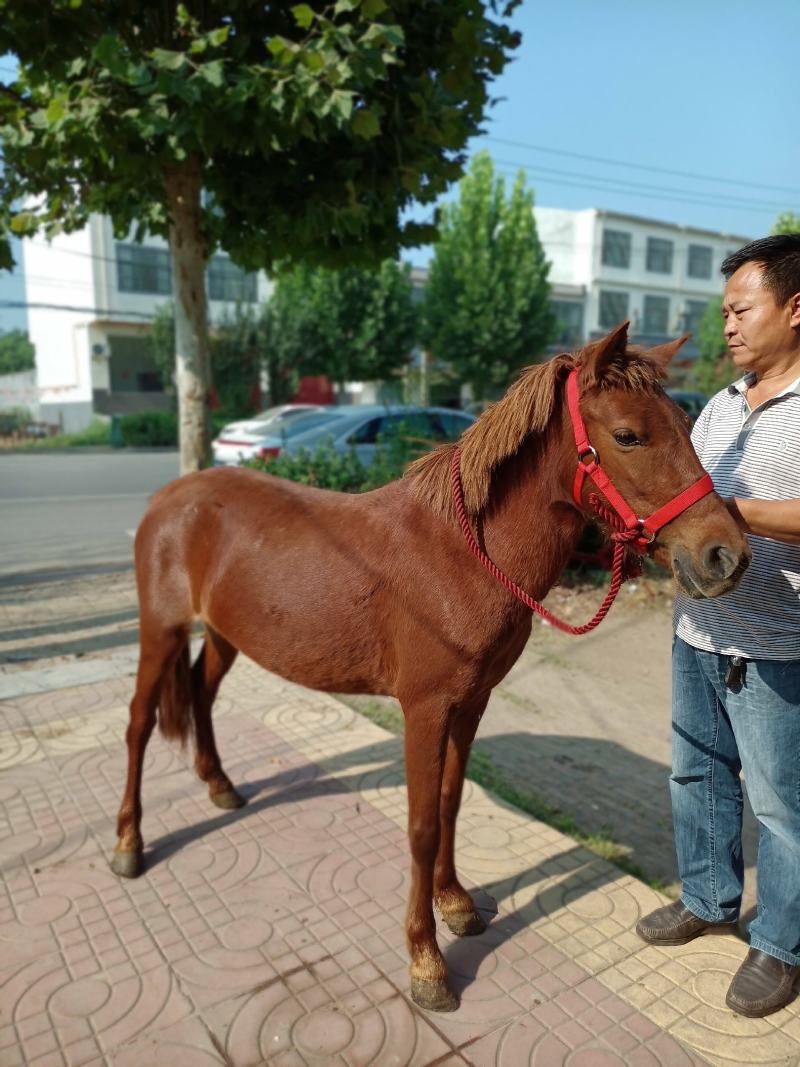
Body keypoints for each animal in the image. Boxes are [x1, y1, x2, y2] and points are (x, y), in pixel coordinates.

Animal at [110, 322, 751, 1012]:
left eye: (687, 426)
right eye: (628, 435)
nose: (725, 555)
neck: (461, 556)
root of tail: (172, 497)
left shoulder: (471, 702)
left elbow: (450, 802)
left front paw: (457, 904)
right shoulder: (423, 709)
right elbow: (419, 825)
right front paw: (426, 962)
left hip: (225, 634)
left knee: (200, 698)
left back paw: (220, 786)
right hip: (160, 631)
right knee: (138, 725)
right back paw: (129, 845)